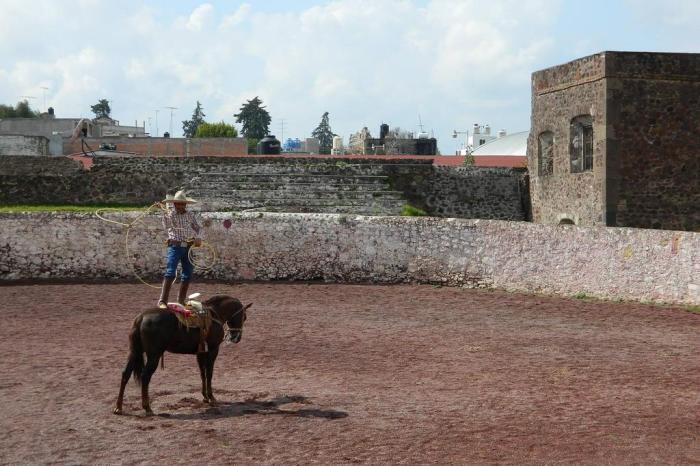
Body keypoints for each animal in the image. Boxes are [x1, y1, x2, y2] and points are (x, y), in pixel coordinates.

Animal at [110, 294, 250, 416]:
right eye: (244, 317)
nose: (236, 338)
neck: (214, 314)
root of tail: (141, 317)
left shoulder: (201, 352)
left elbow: (202, 373)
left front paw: (205, 397)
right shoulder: (213, 350)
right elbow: (209, 373)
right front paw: (211, 398)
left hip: (135, 352)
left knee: (125, 373)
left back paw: (118, 407)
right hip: (154, 355)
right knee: (145, 376)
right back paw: (147, 408)